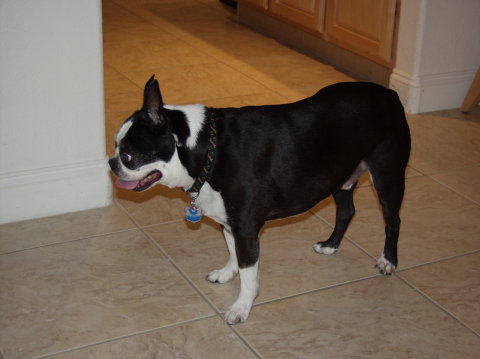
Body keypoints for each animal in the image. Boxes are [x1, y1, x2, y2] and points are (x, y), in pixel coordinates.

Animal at [109, 76, 412, 326]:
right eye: (115, 147)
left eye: (129, 155)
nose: (111, 163)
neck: (209, 149)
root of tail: (389, 93)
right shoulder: (230, 221)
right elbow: (232, 251)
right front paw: (226, 273)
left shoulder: (245, 227)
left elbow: (248, 271)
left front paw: (241, 307)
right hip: (341, 176)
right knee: (347, 211)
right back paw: (330, 245)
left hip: (387, 174)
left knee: (393, 220)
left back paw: (388, 261)